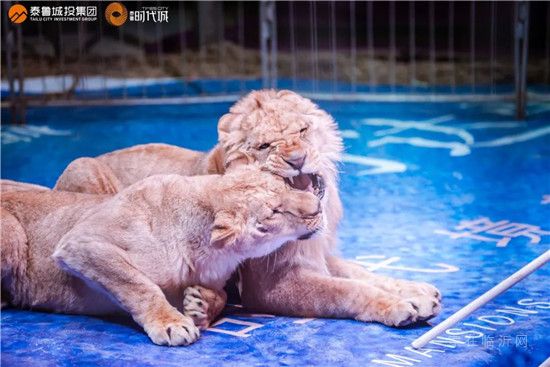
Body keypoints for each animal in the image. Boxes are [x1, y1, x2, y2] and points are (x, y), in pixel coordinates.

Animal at [56, 90, 442, 328]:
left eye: (303, 129)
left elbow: (360, 272)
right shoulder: (270, 285)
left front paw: (416, 291)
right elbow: (345, 290)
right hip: (81, 166)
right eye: (264, 146)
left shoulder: (317, 253)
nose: (297, 159)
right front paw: (397, 307)